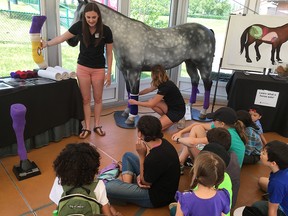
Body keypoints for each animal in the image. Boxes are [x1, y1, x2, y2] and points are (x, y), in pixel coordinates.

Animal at [68, 0, 215, 123]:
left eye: (83, 16)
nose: (70, 41)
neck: (125, 36)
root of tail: (208, 31)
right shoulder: (125, 71)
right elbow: (129, 92)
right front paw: (126, 112)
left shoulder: (134, 72)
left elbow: (134, 92)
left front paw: (132, 117)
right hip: (190, 63)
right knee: (195, 80)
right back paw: (188, 108)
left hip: (204, 64)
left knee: (208, 84)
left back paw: (203, 113)